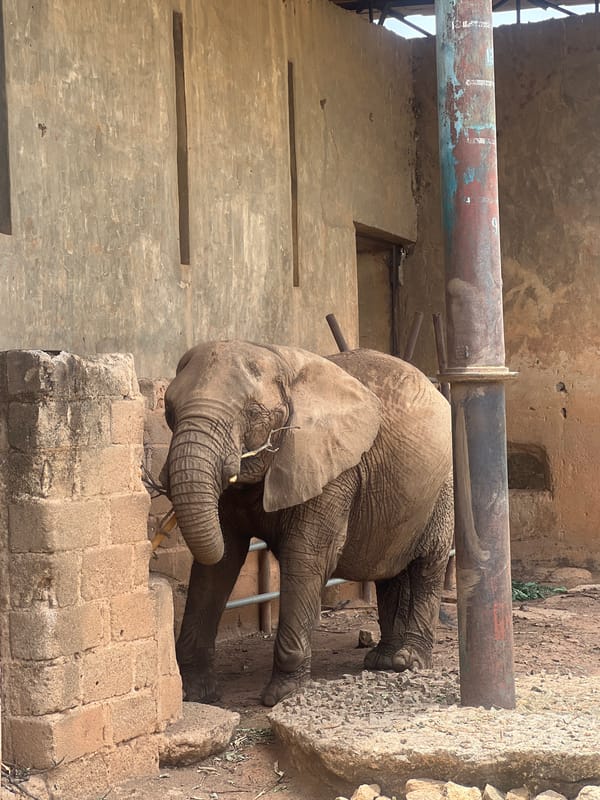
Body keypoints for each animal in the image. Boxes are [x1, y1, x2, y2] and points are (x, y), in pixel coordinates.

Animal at [159, 340, 453, 707]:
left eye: (253, 413)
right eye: (169, 410)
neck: (277, 357)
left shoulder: (332, 469)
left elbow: (306, 556)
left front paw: (282, 696)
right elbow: (219, 563)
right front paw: (194, 695)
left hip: (443, 486)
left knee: (427, 565)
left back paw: (407, 661)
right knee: (389, 570)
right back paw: (383, 661)